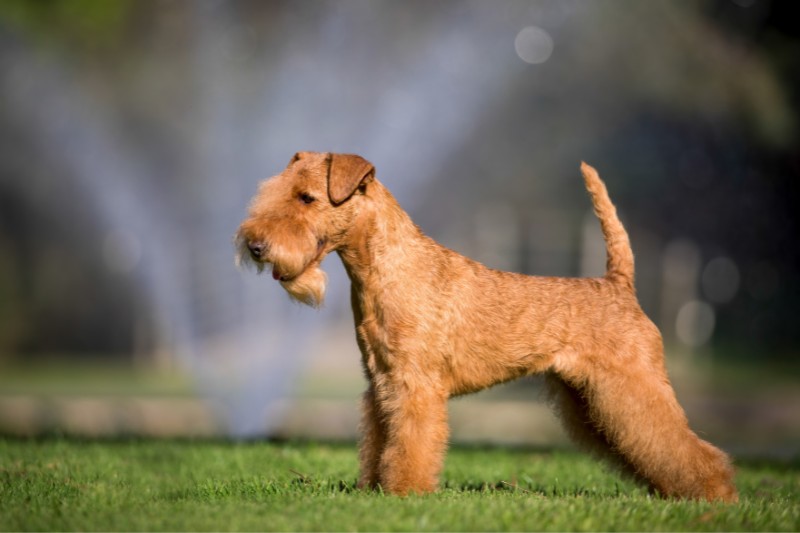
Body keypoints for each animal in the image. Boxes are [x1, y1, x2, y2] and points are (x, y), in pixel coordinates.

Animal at [236, 152, 736, 500]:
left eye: (307, 198)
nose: (255, 246)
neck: (384, 267)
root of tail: (618, 283)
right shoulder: (381, 385)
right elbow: (379, 443)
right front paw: (373, 490)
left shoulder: (414, 387)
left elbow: (409, 446)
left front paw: (403, 495)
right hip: (592, 399)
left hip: (633, 387)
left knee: (688, 446)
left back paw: (715, 495)